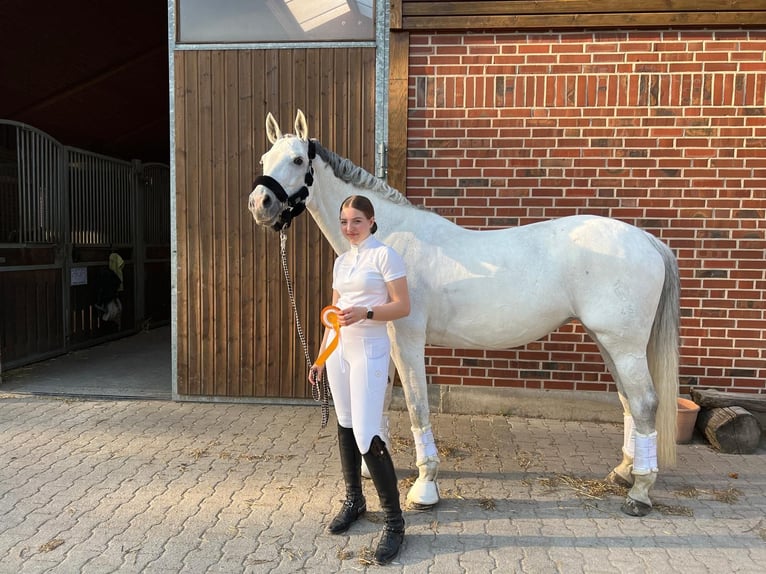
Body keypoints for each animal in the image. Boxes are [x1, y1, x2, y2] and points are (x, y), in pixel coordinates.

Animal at [248, 110, 680, 517]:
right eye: (265, 157)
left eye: (298, 159)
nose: (259, 204)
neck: (387, 239)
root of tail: (647, 240)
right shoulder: (385, 337)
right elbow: (381, 397)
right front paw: (375, 466)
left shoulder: (407, 339)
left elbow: (416, 405)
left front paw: (425, 486)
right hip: (609, 342)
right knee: (627, 400)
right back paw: (623, 472)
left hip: (623, 345)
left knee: (644, 403)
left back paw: (640, 493)